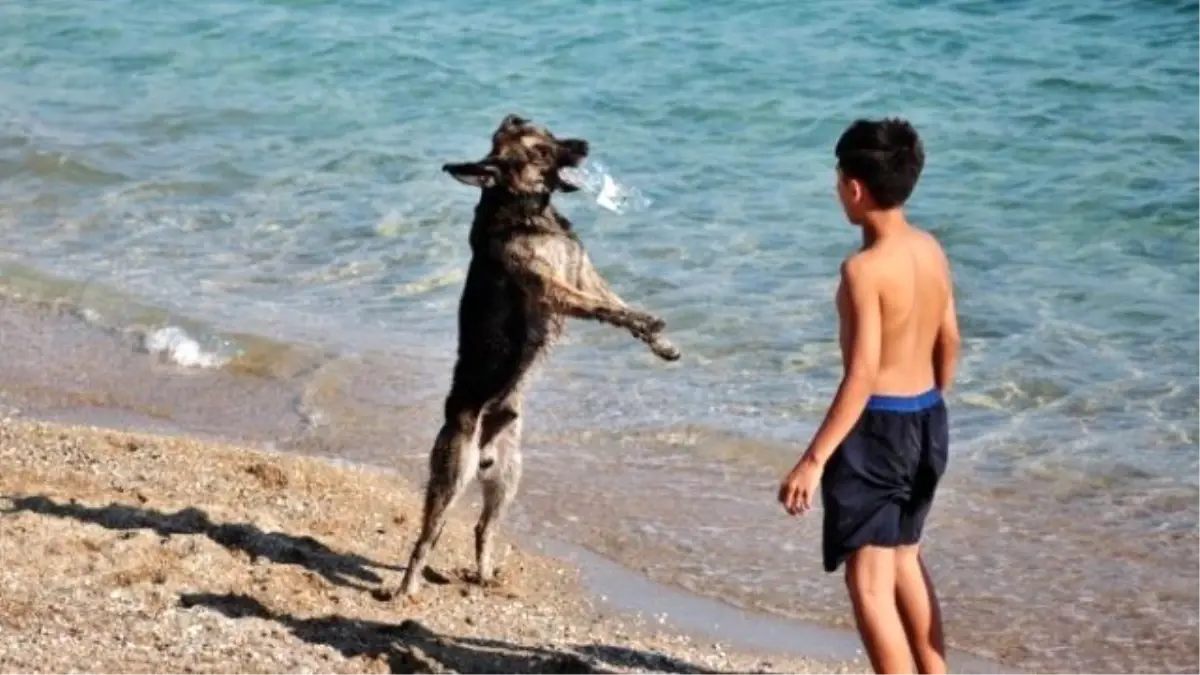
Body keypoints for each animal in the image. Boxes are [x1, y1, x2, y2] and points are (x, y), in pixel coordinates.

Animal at [388, 112, 681, 595]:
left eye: (550, 132)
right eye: (541, 150)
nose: (584, 144)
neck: (528, 209)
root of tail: (484, 450)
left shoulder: (583, 274)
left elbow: (616, 305)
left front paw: (661, 342)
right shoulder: (554, 289)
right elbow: (609, 309)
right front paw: (648, 321)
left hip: (508, 477)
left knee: (482, 528)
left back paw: (486, 576)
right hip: (452, 476)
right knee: (427, 536)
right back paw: (405, 589)